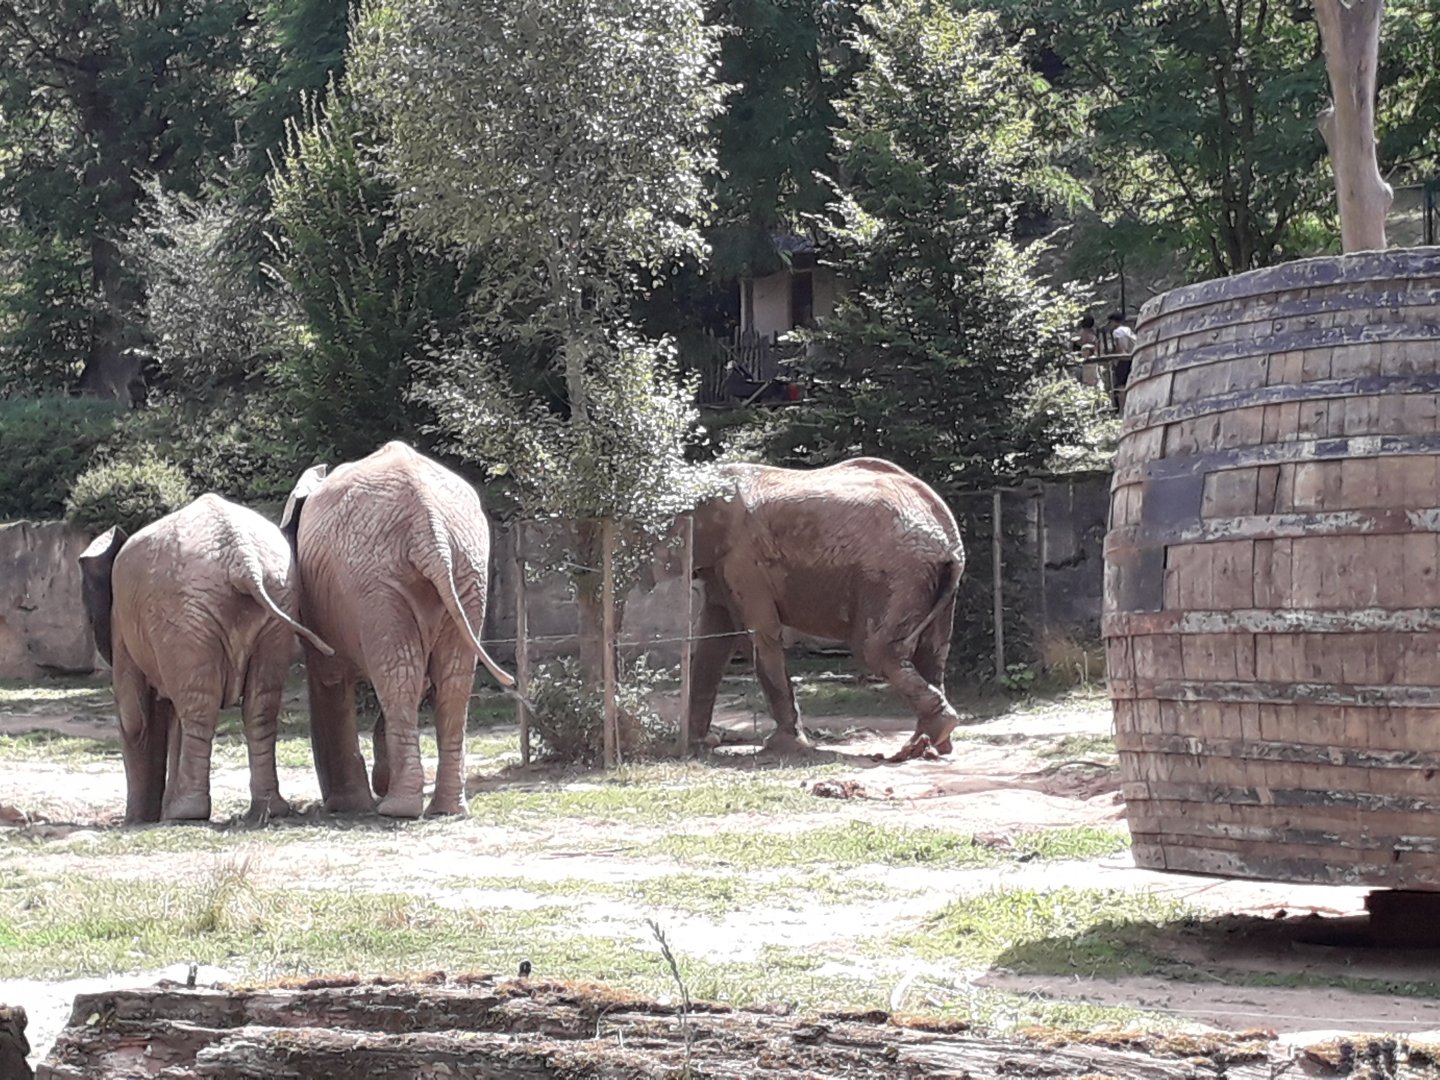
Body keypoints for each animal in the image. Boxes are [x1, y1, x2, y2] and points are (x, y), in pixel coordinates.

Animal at [78, 494, 334, 824]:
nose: (142, 817)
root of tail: (242, 558)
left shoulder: (121, 625)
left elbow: (133, 716)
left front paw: (136, 821)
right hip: (276, 595)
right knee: (260, 703)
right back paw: (268, 810)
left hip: (186, 612)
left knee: (198, 706)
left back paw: (186, 813)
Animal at [280, 440, 515, 819]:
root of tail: (429, 525)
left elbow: (329, 678)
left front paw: (346, 804)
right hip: (464, 570)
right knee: (445, 679)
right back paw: (443, 808)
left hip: (377, 578)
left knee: (400, 676)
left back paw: (397, 809)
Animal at [687, 457, 965, 760]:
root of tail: (949, 536)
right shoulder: (724, 564)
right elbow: (713, 642)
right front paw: (699, 744)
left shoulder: (743, 560)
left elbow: (758, 636)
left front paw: (783, 747)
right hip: (933, 578)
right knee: (932, 651)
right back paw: (932, 745)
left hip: (898, 573)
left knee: (876, 650)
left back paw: (922, 743)